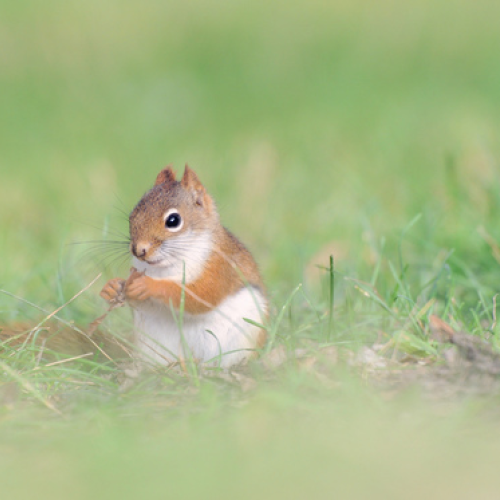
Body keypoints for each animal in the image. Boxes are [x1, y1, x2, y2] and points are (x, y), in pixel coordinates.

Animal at [100, 165, 268, 368]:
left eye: (173, 220)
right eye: (132, 215)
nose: (139, 250)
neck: (166, 266)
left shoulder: (220, 266)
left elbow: (199, 296)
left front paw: (149, 285)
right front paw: (112, 287)